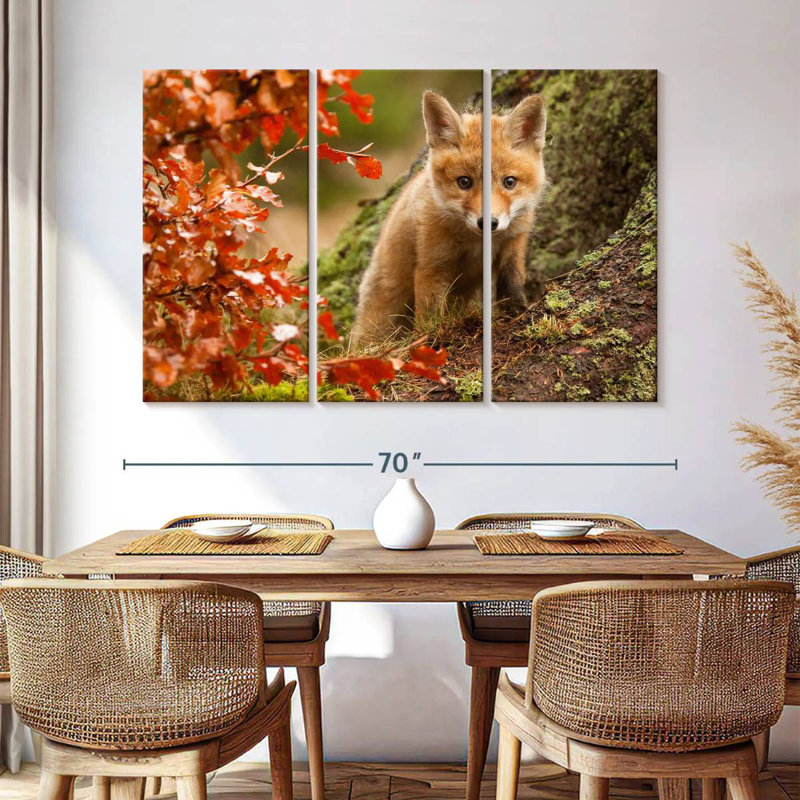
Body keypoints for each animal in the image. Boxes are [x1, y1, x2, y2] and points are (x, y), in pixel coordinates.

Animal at [350, 90, 547, 346]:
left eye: (510, 182)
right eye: (464, 182)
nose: (488, 223)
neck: (474, 243)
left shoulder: (513, 244)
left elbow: (512, 282)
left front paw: (517, 310)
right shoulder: (432, 265)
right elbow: (430, 313)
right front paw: (430, 339)